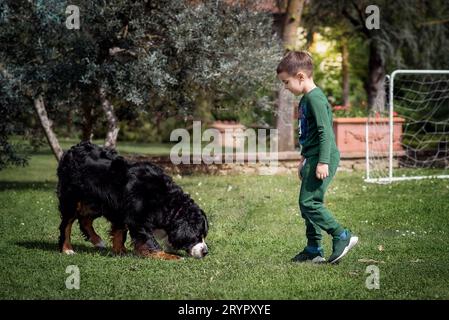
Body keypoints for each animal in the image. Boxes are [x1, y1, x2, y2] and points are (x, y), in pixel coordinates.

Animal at [56, 142, 208, 260]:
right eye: (197, 235)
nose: (205, 251)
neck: (166, 202)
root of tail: (73, 149)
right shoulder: (138, 218)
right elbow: (149, 240)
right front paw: (168, 256)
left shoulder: (121, 209)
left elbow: (119, 232)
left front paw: (120, 251)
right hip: (72, 198)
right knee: (66, 224)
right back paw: (67, 249)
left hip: (96, 203)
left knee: (84, 220)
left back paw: (98, 241)